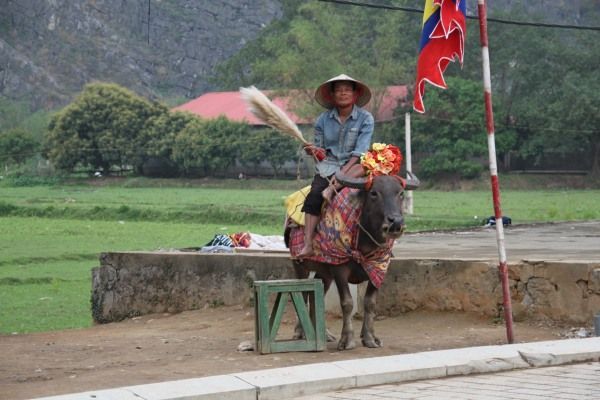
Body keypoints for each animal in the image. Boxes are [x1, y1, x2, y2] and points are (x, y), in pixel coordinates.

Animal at [284, 171, 418, 350]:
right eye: (374, 193)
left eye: (401, 193)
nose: (396, 222)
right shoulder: (339, 269)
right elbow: (347, 303)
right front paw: (347, 339)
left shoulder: (380, 268)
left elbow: (370, 303)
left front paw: (370, 337)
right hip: (300, 266)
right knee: (302, 294)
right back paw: (300, 332)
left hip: (325, 273)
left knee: (317, 297)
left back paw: (324, 334)